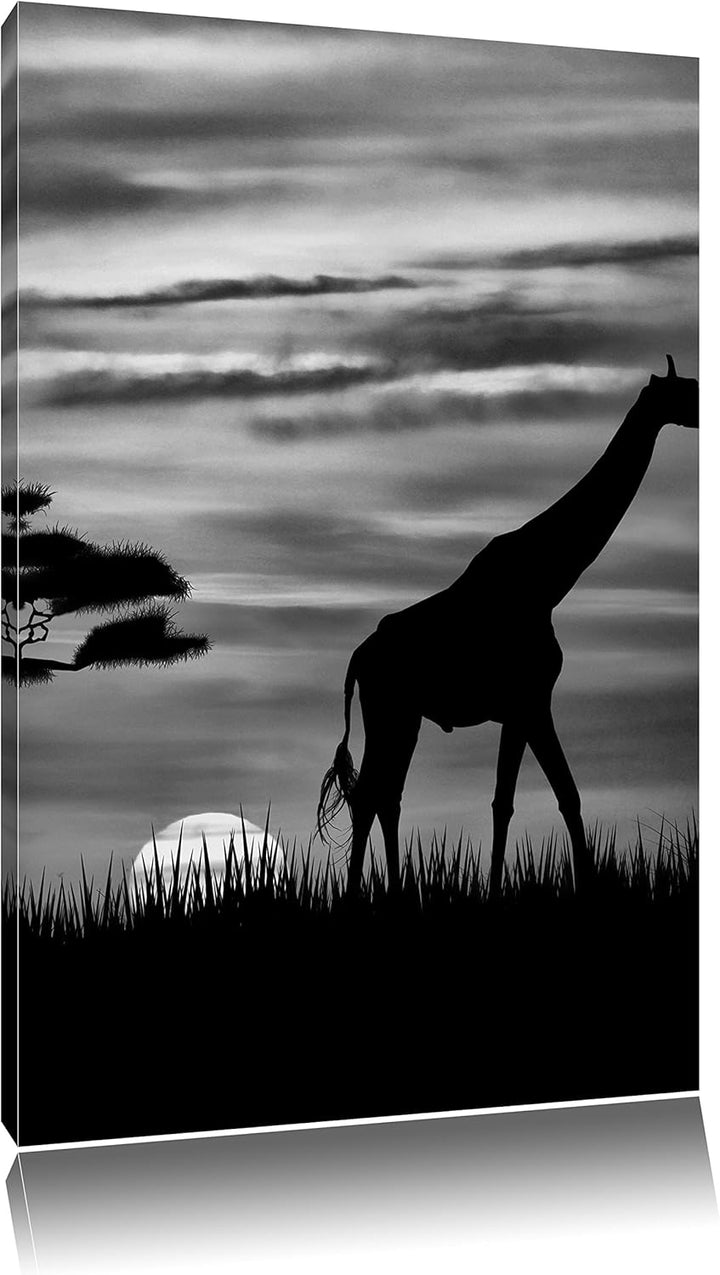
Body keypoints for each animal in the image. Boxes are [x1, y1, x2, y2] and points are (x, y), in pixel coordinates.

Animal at [316, 356, 698, 897]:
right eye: (688, 390)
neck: (548, 581)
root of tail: (356, 659)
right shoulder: (530, 701)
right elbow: (543, 798)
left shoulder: (524, 707)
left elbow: (529, 799)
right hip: (391, 711)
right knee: (371, 795)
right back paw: (359, 894)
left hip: (402, 716)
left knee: (386, 795)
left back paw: (393, 888)